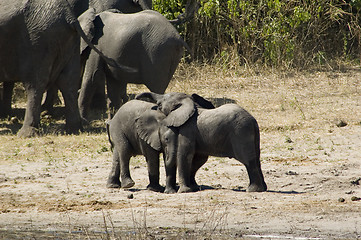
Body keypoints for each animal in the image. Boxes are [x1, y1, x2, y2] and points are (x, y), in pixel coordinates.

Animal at [0, 0, 133, 137]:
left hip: (38, 40)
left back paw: (27, 133)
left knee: (35, 83)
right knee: (68, 82)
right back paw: (74, 129)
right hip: (66, 40)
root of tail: (68, 17)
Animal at [135, 92, 268, 193]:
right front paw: (194, 188)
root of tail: (253, 120)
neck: (190, 104)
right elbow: (199, 158)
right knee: (257, 159)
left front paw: (184, 191)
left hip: (241, 133)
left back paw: (253, 190)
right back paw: (263, 188)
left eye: (160, 104)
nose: (136, 97)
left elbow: (184, 155)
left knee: (248, 160)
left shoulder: (187, 130)